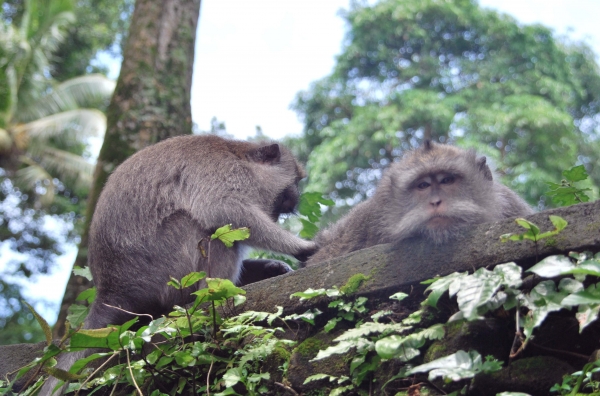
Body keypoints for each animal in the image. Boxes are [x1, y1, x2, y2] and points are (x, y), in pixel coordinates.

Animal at [41, 135, 314, 394]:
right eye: (286, 194)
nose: (277, 215)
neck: (238, 155)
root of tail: (109, 293)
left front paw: (272, 265)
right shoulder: (220, 170)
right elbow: (224, 209)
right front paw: (303, 247)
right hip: (168, 272)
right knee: (209, 230)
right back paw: (209, 296)